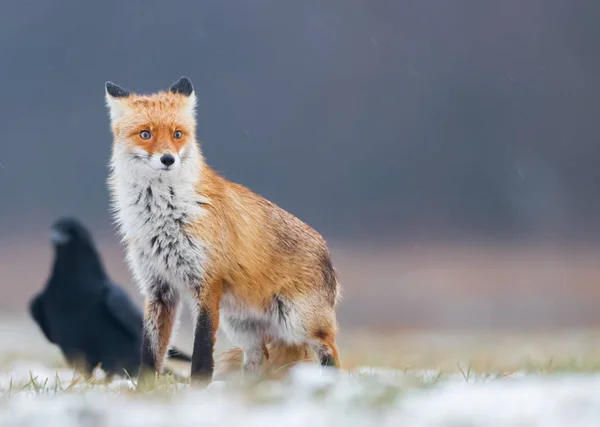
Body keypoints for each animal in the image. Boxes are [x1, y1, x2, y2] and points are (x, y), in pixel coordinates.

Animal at [105, 77, 340, 384]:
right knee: (257, 357)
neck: (165, 214)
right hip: (243, 326)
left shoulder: (208, 283)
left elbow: (202, 351)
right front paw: (144, 390)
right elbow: (150, 352)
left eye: (178, 134)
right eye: (145, 134)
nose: (168, 159)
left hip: (299, 323)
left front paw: (197, 389)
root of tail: (327, 252)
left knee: (331, 351)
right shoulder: (158, 287)